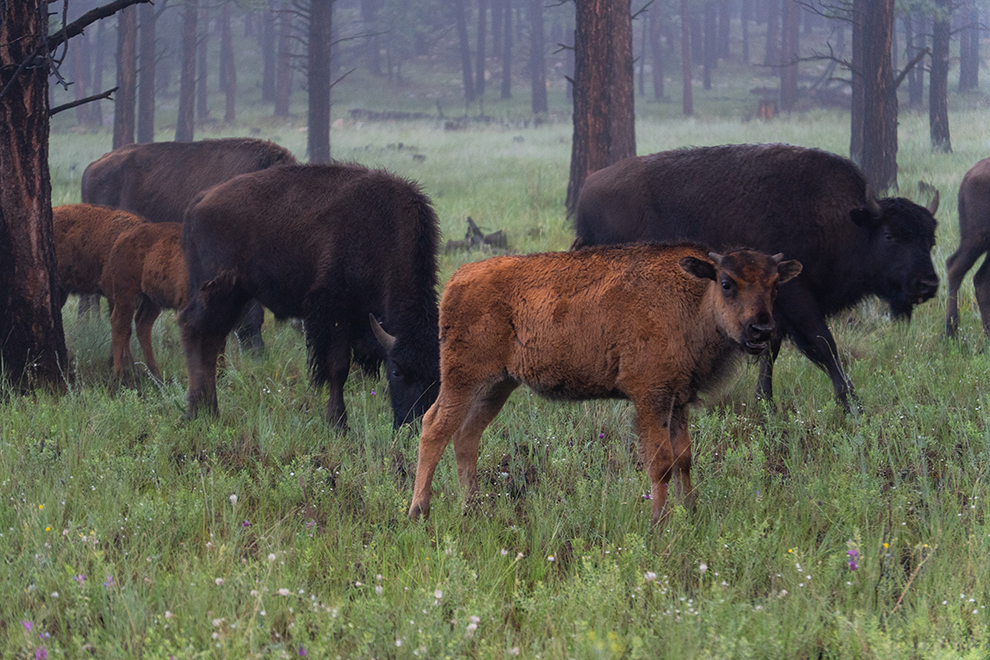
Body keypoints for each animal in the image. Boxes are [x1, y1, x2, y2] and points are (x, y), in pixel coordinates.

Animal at [179, 163, 441, 429]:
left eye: (437, 376)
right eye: (396, 371)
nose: (413, 425)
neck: (385, 232)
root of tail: (199, 202)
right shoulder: (332, 314)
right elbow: (338, 367)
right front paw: (338, 423)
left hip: (235, 295)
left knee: (211, 340)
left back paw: (209, 411)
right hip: (216, 290)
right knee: (195, 331)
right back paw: (197, 411)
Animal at [407, 243, 801, 526]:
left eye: (775, 286)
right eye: (727, 283)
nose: (761, 330)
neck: (694, 298)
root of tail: (459, 278)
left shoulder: (678, 400)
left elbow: (684, 458)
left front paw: (690, 512)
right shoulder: (650, 396)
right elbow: (661, 461)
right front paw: (658, 522)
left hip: (497, 386)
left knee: (466, 436)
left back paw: (472, 507)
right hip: (463, 378)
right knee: (435, 428)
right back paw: (419, 511)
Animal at [573, 143, 939, 409]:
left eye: (930, 239)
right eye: (890, 235)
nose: (928, 284)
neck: (844, 221)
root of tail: (586, 191)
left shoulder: (771, 312)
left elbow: (771, 349)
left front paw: (766, 401)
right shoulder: (798, 301)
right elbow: (824, 344)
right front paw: (851, 402)